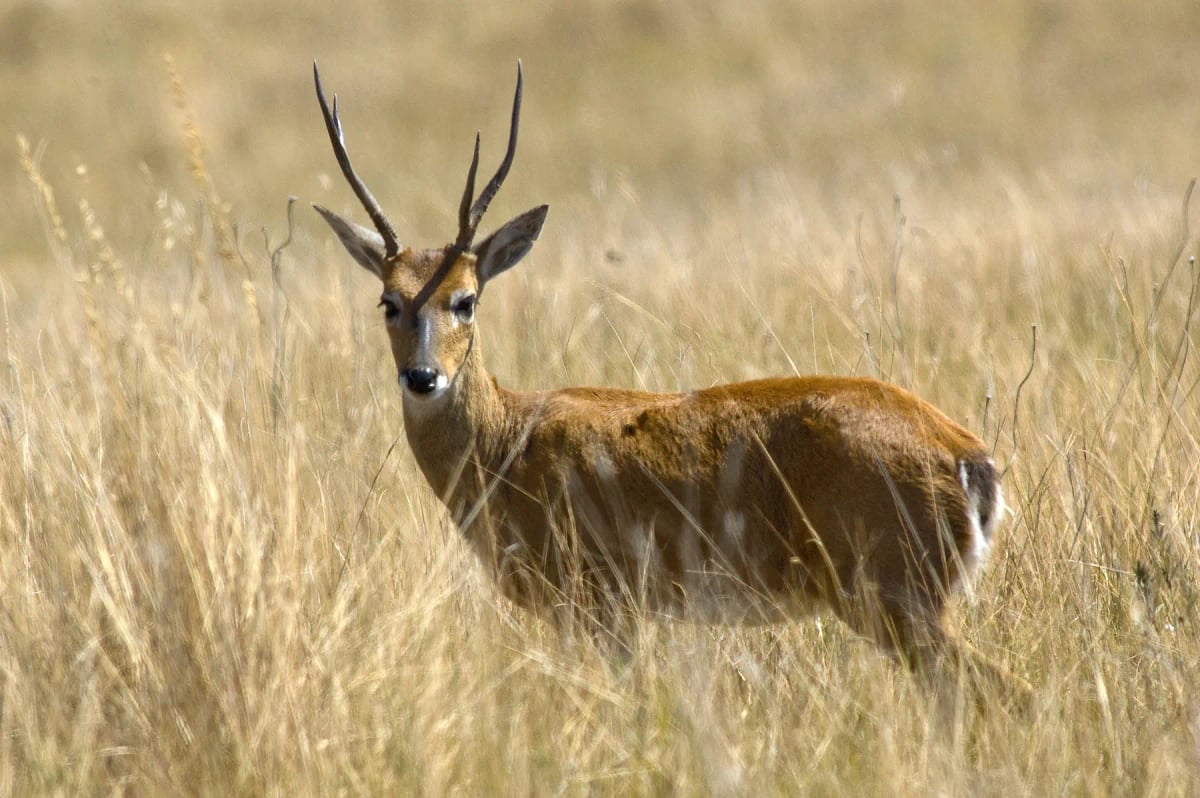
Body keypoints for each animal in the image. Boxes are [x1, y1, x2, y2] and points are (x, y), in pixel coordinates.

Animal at [311, 61, 1020, 700]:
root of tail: (967, 455)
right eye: (388, 301)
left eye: (465, 299)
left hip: (896, 596)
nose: (422, 376)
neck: (507, 442)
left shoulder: (602, 602)